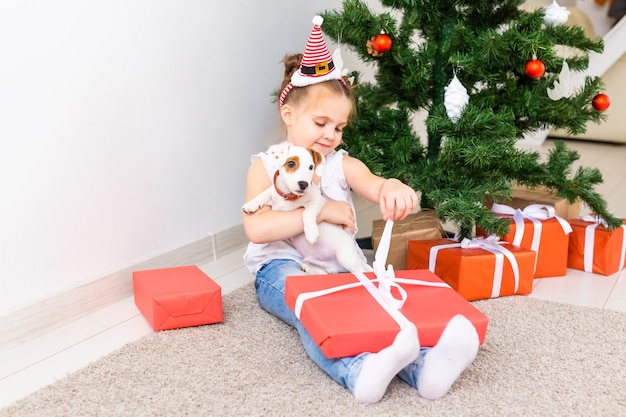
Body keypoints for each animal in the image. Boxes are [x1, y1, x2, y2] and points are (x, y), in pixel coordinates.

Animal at [241, 141, 370, 274]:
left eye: (311, 167)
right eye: (291, 163)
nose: (304, 184)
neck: (290, 197)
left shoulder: (316, 200)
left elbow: (307, 213)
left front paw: (311, 233)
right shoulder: (275, 198)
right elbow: (265, 193)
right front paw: (251, 204)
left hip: (347, 259)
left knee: (362, 271)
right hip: (322, 267)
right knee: (322, 273)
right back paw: (307, 267)